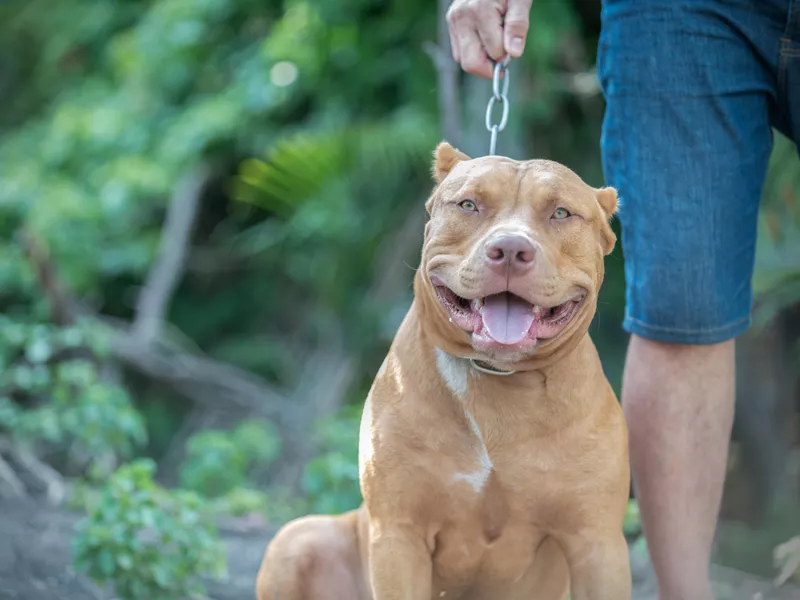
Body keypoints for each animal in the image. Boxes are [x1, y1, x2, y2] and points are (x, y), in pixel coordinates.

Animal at [256, 143, 632, 596]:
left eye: (560, 213)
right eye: (469, 204)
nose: (510, 249)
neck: (497, 378)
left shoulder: (598, 544)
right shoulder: (398, 536)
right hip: (296, 539)